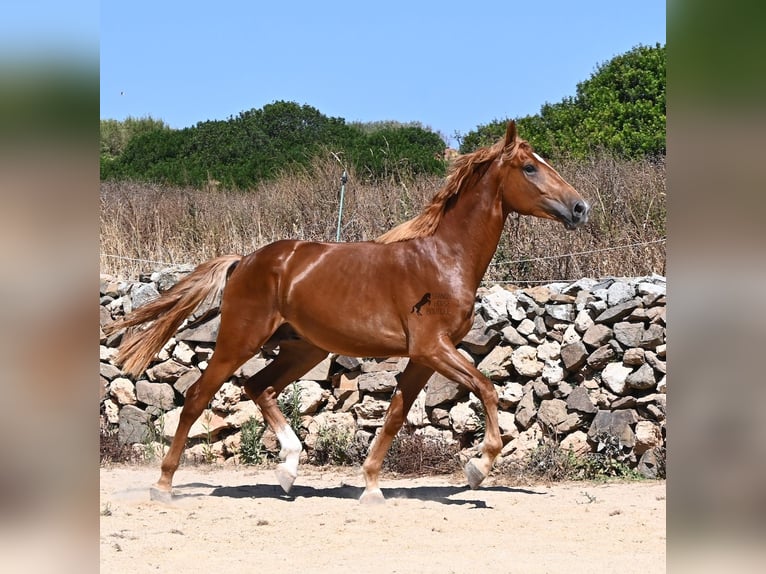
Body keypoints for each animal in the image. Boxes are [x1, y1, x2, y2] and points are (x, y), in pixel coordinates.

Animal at [106, 121, 590, 503]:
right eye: (530, 167)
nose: (580, 207)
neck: (443, 258)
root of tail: (244, 260)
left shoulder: (423, 357)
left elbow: (394, 416)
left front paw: (371, 485)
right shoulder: (434, 348)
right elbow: (487, 390)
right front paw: (477, 468)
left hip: (305, 349)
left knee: (259, 387)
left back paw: (288, 470)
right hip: (239, 341)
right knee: (198, 397)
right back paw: (164, 485)